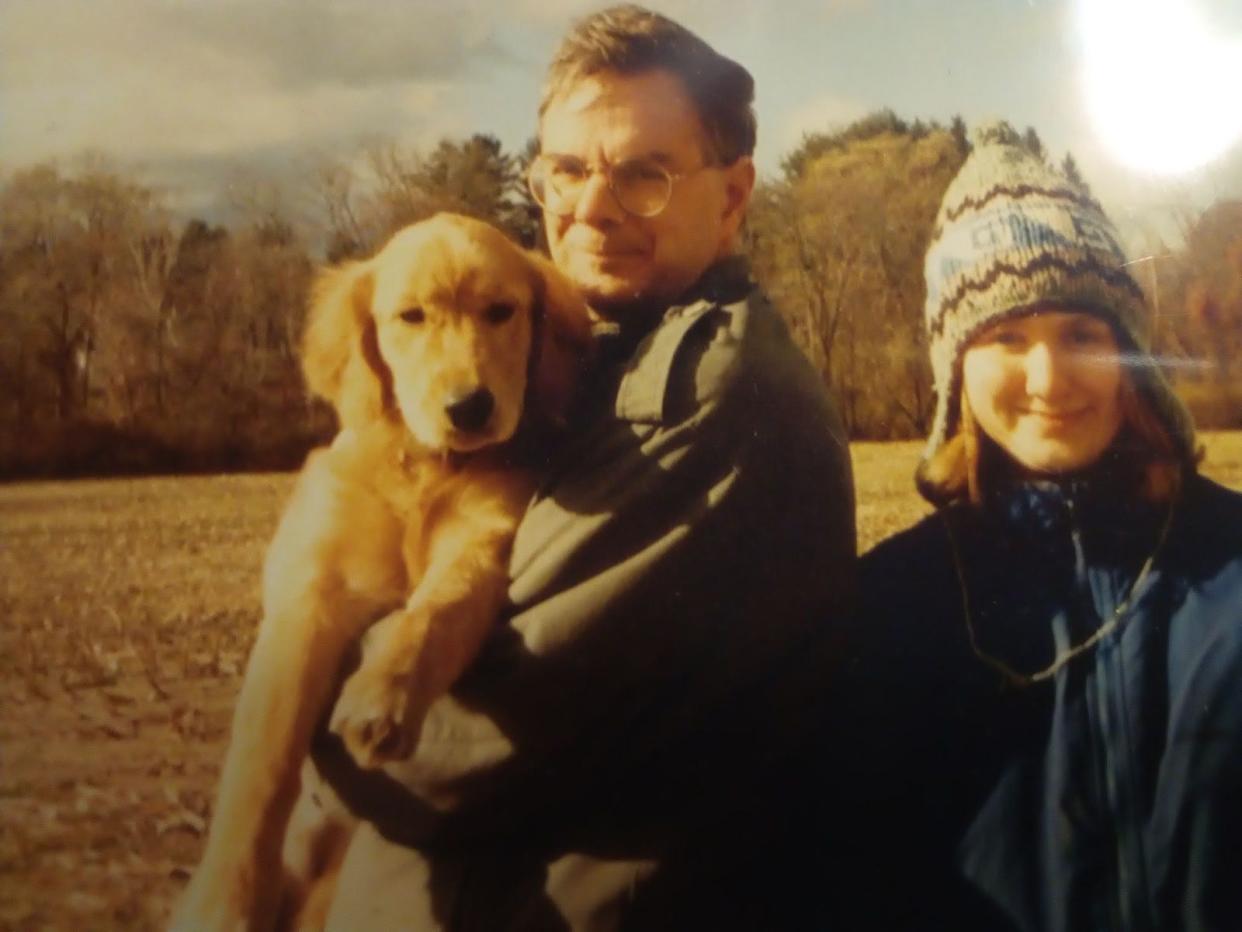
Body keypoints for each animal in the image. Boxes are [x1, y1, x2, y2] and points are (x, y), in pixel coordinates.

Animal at [172, 214, 593, 929]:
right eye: (411, 316)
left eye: (501, 311)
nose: (470, 407)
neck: (424, 466)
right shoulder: (310, 592)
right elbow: (263, 761)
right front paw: (224, 904)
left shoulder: (482, 543)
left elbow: (434, 613)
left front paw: (382, 699)